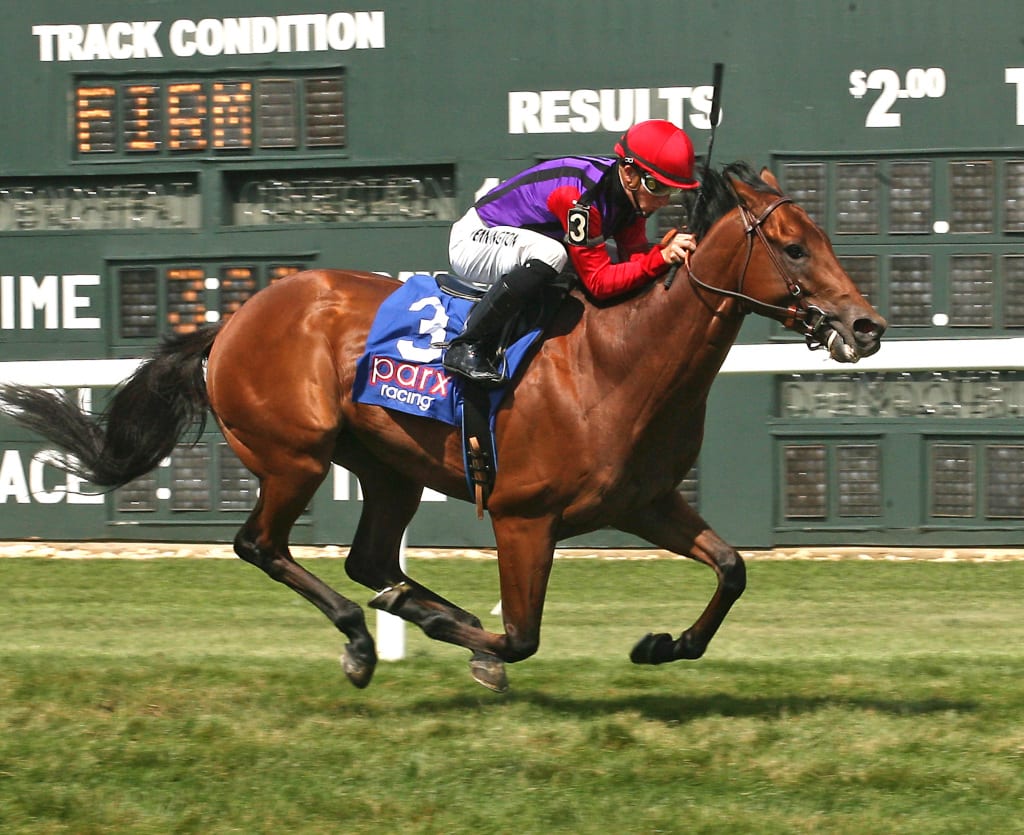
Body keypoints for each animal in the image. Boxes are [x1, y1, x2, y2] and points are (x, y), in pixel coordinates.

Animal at [0, 161, 884, 692]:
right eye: (793, 247)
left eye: (824, 236)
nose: (866, 325)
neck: (615, 360)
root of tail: (233, 321)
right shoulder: (524, 518)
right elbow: (520, 637)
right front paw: (476, 650)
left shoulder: (644, 501)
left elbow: (731, 567)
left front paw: (662, 644)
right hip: (294, 456)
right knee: (263, 544)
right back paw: (366, 639)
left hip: (387, 466)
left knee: (367, 557)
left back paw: (408, 605)